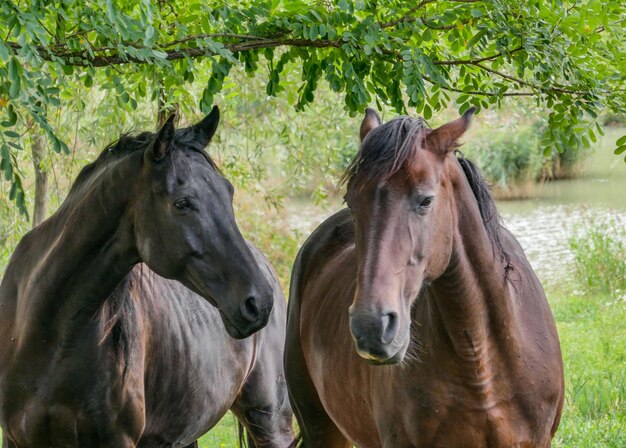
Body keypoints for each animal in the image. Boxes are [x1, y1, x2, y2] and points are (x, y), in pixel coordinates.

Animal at [0, 107, 292, 446]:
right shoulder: (15, 437)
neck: (48, 332)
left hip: (271, 421)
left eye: (228, 192)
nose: (258, 302)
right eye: (182, 203)